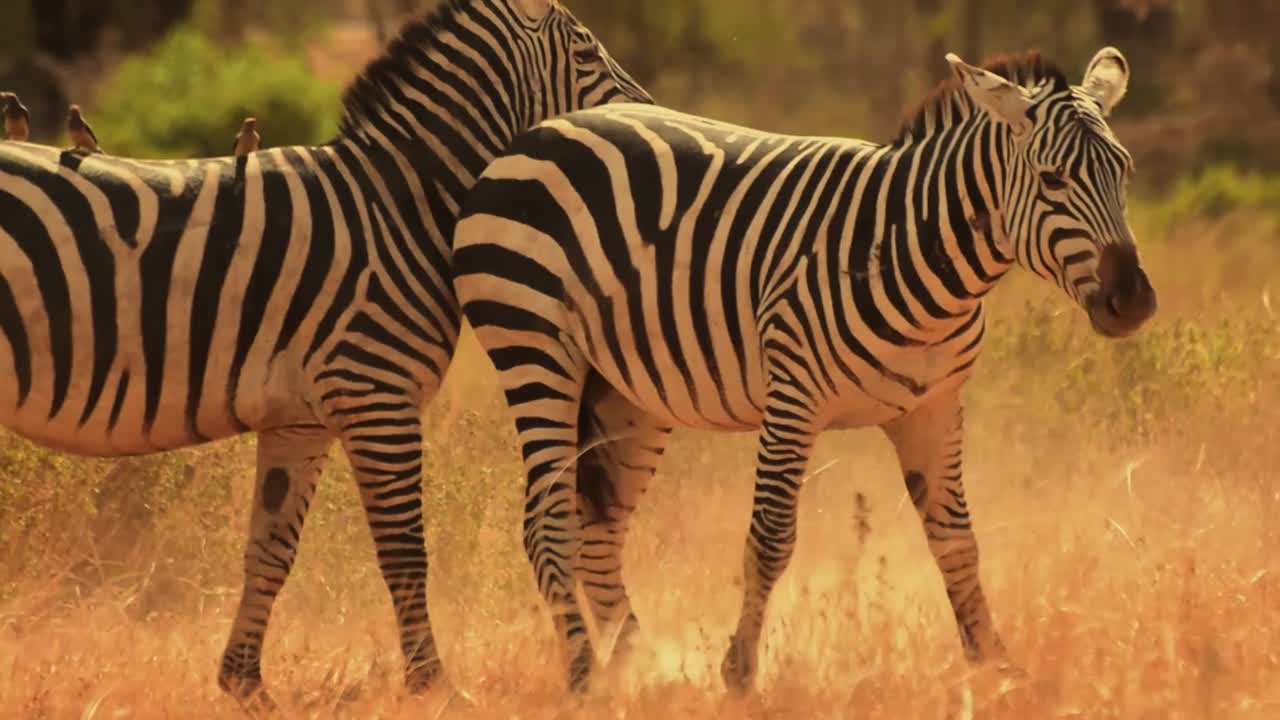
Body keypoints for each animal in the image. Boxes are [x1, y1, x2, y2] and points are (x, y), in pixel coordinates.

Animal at [0, 0, 650, 706]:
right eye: (586, 52)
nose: (649, 113)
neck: (396, 207)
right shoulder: (376, 395)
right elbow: (404, 551)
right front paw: (433, 686)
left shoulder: (301, 421)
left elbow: (271, 549)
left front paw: (246, 684)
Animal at [452, 47, 1157, 691]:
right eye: (1053, 179)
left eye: (1124, 170)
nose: (1134, 301)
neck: (908, 252)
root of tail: (540, 131)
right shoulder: (793, 397)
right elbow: (769, 541)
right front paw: (739, 676)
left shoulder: (933, 408)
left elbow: (957, 540)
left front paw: (996, 669)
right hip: (534, 345)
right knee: (547, 526)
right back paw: (584, 680)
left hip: (625, 391)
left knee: (597, 533)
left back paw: (637, 672)